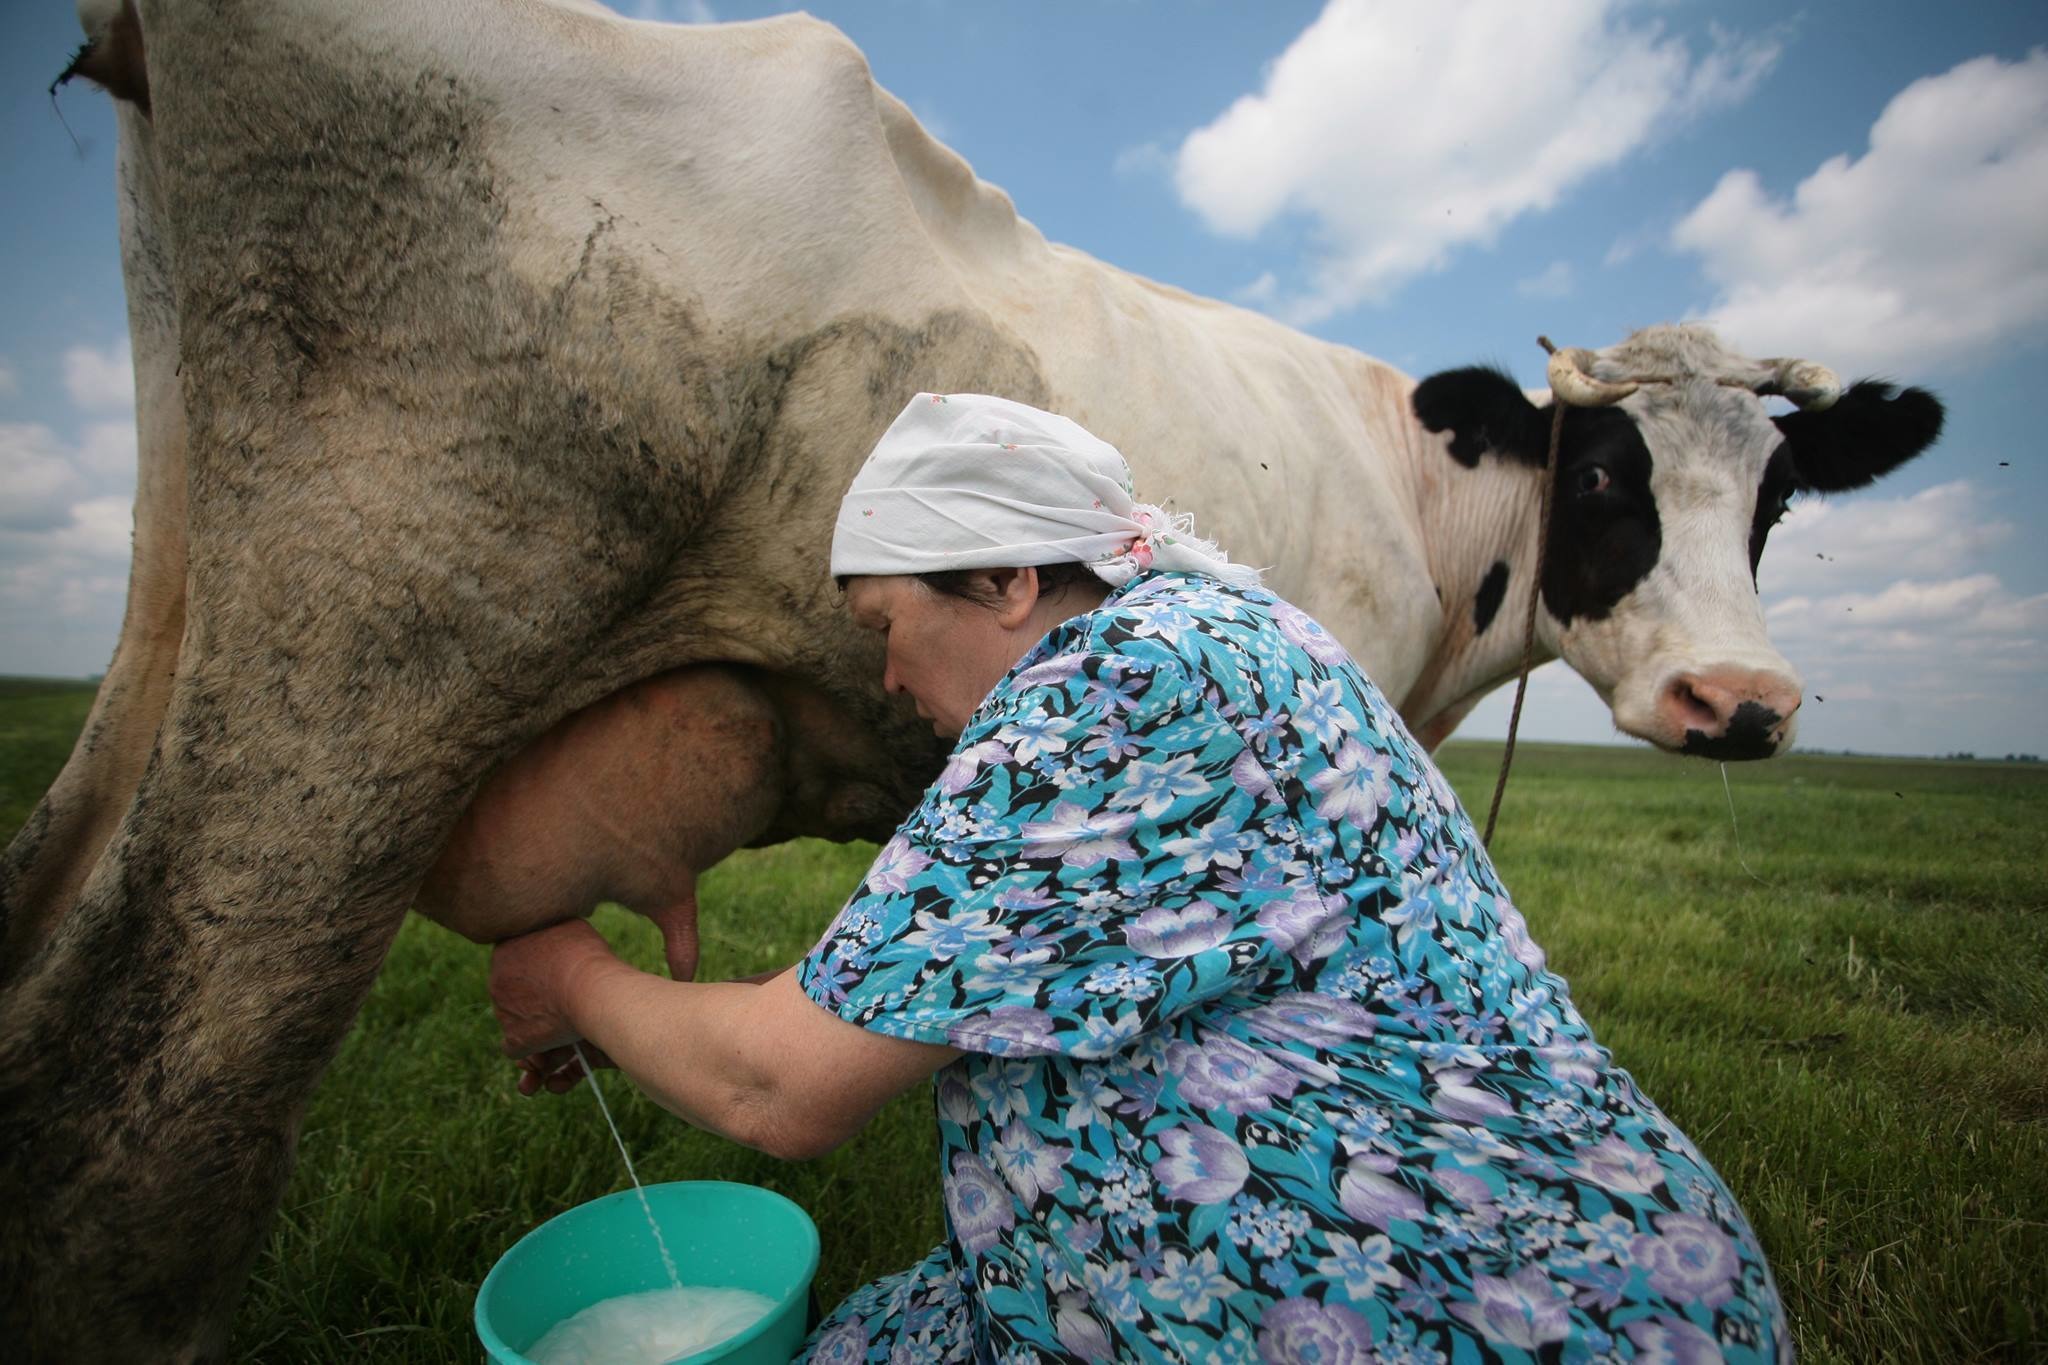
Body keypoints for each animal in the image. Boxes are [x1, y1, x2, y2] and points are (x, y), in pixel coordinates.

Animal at [4, 0, 1933, 1358]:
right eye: (1603, 480)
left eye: (1774, 497)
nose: (1743, 705)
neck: (1408, 477)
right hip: (368, 664)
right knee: (123, 1135)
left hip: (182, 623)